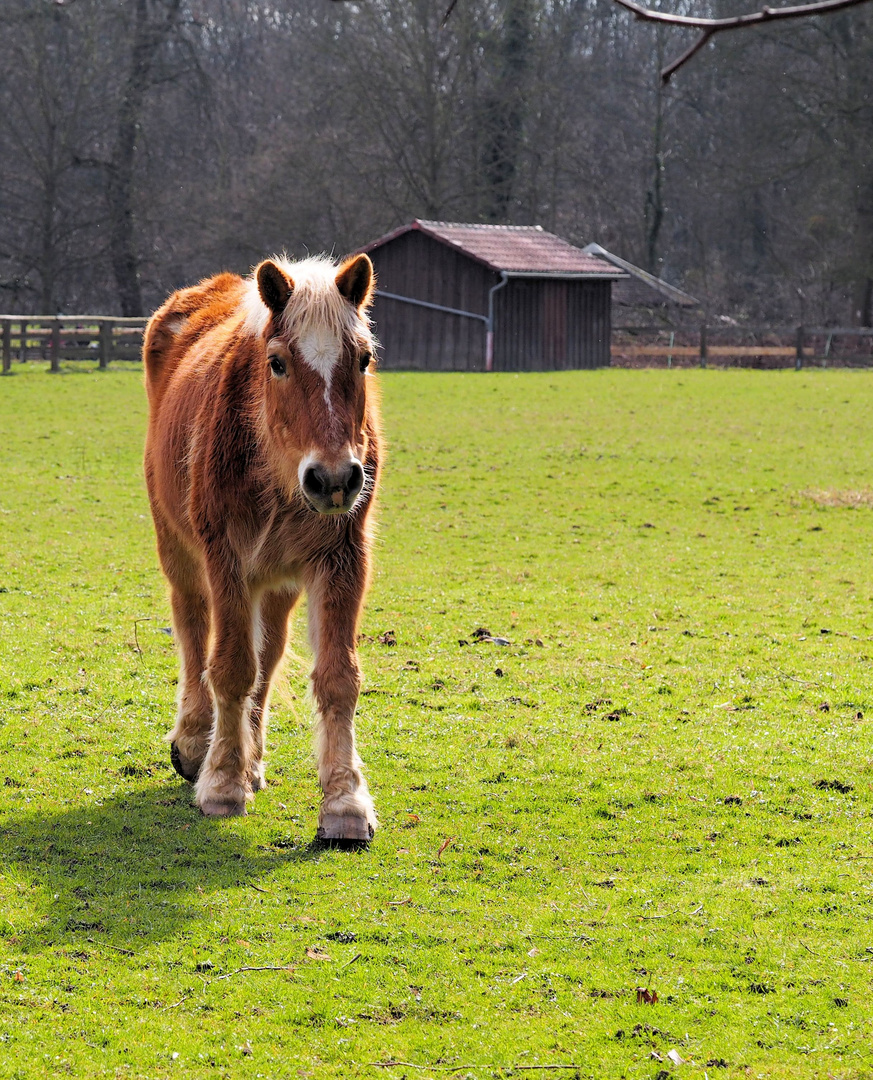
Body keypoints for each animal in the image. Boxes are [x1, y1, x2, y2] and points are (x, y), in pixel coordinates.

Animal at [143, 252, 382, 842]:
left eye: (363, 358)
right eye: (277, 363)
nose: (334, 479)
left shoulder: (341, 561)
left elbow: (337, 678)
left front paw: (345, 803)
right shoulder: (227, 561)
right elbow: (229, 666)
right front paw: (222, 784)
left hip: (277, 581)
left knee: (268, 658)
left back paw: (250, 760)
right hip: (181, 551)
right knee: (192, 629)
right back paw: (195, 743)